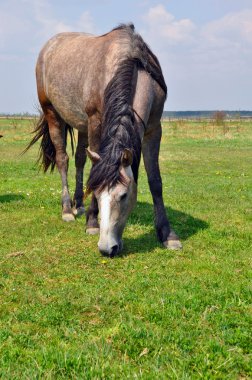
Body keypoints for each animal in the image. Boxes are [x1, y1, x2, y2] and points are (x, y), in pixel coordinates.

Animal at [26, 23, 182, 255]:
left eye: (124, 195)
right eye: (98, 194)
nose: (107, 248)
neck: (132, 64)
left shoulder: (154, 129)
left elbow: (155, 181)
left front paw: (167, 234)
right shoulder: (96, 122)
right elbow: (94, 170)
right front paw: (92, 222)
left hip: (81, 124)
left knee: (80, 159)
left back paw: (79, 205)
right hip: (53, 114)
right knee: (63, 159)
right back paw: (67, 210)